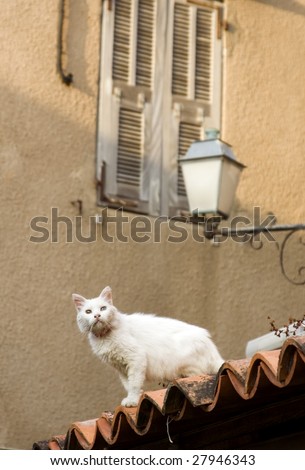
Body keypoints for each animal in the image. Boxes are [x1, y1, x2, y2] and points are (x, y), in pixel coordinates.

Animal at [72, 286, 223, 408]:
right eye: (88, 312)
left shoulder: (136, 359)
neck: (104, 337)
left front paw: (132, 401)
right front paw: (134, 397)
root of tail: (211, 347)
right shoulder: (121, 369)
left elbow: (134, 383)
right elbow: (128, 385)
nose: (97, 315)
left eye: (103, 308)